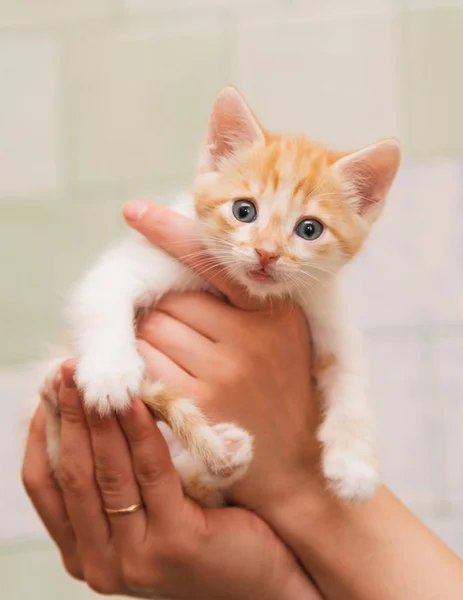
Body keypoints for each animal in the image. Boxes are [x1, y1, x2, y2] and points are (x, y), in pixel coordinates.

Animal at [39, 85, 402, 506]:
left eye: (309, 229)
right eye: (244, 210)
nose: (266, 253)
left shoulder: (326, 308)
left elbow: (351, 375)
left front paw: (356, 464)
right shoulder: (136, 263)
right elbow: (105, 295)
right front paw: (109, 374)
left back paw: (225, 455)